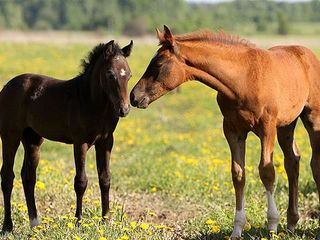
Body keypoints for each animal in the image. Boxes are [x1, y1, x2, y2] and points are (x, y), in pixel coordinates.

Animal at [0, 40, 132, 232]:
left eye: (129, 75)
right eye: (109, 74)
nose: (124, 109)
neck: (90, 100)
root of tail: (6, 87)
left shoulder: (106, 141)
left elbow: (105, 178)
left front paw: (106, 221)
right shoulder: (80, 142)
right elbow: (81, 181)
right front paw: (78, 221)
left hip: (33, 139)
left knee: (28, 176)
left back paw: (35, 223)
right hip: (10, 135)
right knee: (7, 176)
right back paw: (7, 226)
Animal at [130, 26, 320, 238]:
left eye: (159, 64)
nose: (134, 96)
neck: (243, 80)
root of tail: (308, 54)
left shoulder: (267, 127)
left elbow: (267, 171)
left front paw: (271, 226)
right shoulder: (232, 130)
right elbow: (238, 174)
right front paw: (237, 230)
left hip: (311, 118)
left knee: (314, 162)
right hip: (287, 125)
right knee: (292, 161)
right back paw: (292, 223)